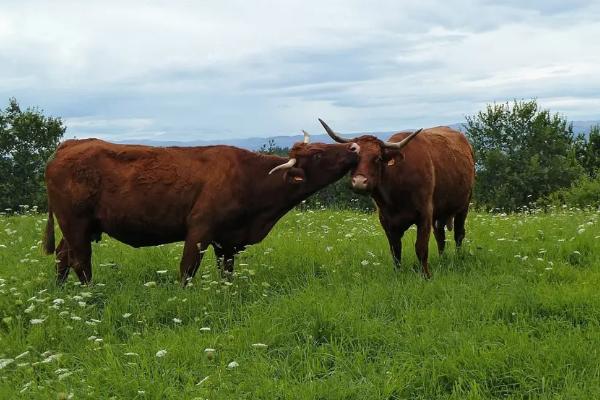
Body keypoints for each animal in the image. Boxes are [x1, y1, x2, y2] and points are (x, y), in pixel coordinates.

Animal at [44, 133, 358, 286]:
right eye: (317, 154)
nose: (354, 147)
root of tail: (69, 145)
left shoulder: (227, 239)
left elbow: (226, 271)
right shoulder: (200, 228)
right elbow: (187, 269)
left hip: (80, 227)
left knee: (62, 256)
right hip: (75, 223)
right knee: (80, 261)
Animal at [318, 118, 474, 278]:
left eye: (378, 158)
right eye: (355, 159)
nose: (359, 182)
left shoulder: (425, 213)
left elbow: (421, 247)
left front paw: (426, 275)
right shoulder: (386, 219)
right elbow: (395, 250)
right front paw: (397, 273)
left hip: (464, 204)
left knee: (459, 234)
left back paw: (458, 257)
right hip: (441, 212)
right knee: (440, 236)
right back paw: (442, 259)